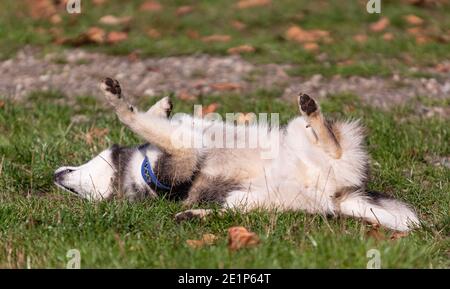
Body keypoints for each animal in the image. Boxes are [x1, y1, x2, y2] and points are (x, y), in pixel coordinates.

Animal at [54, 77, 420, 231]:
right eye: (82, 195)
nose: (55, 175)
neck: (134, 172)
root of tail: (336, 194)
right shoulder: (181, 155)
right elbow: (135, 119)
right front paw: (121, 104)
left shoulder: (179, 142)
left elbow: (153, 121)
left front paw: (160, 106)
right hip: (248, 196)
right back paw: (194, 216)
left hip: (292, 140)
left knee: (327, 138)